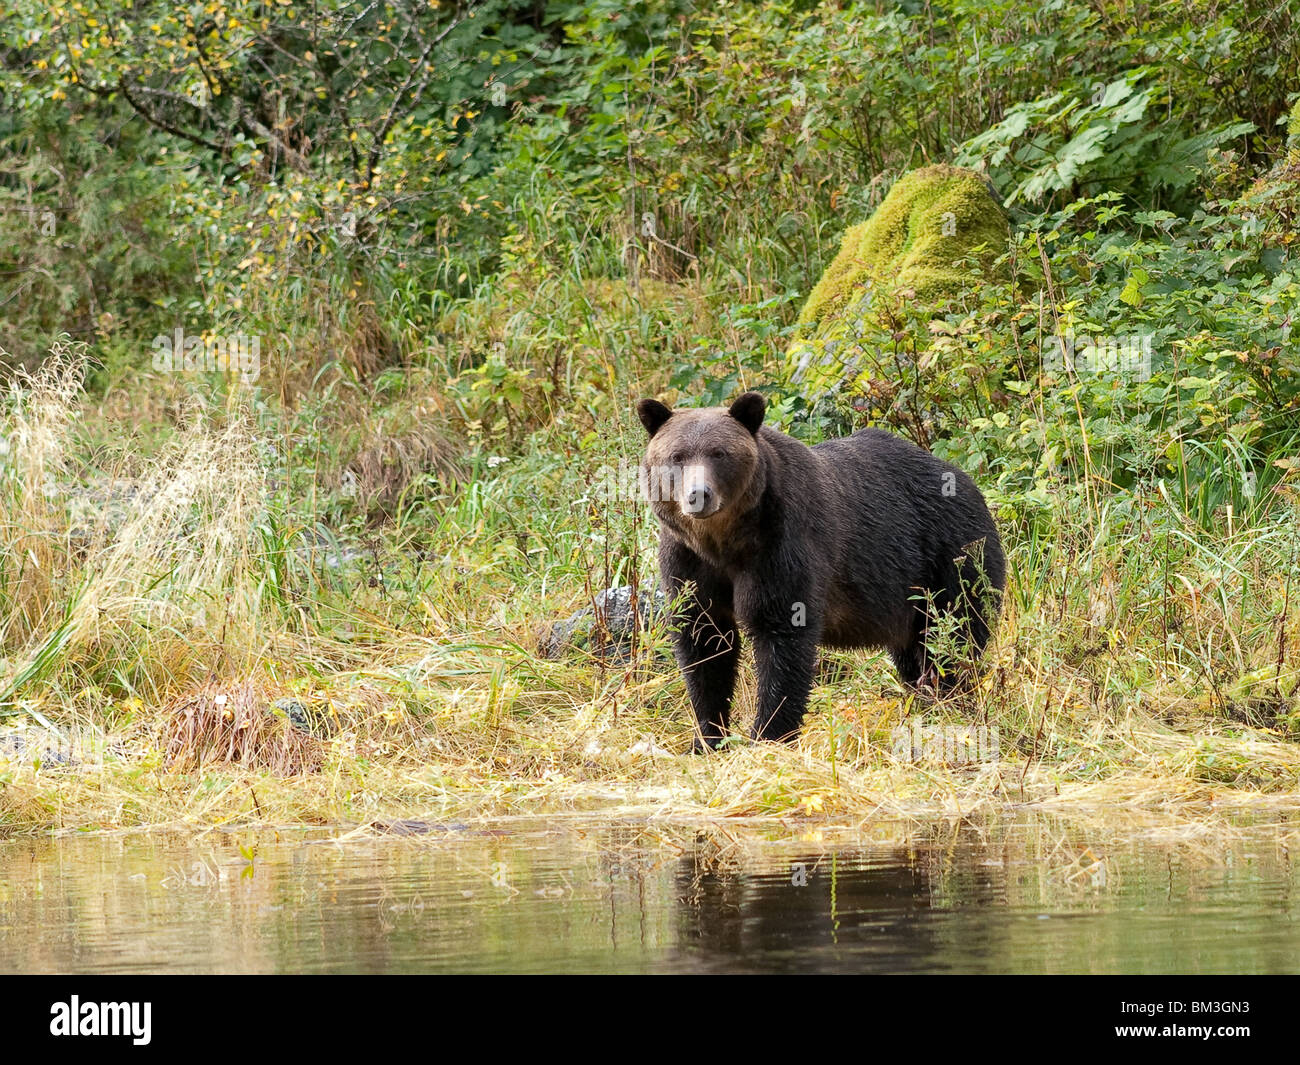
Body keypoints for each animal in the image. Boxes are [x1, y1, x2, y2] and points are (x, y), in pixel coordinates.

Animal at [636, 391, 1005, 750]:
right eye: (678, 456)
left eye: (719, 453)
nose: (698, 495)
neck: (724, 543)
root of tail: (967, 481)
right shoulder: (687, 560)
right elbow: (704, 641)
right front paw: (708, 738)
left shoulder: (780, 546)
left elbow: (781, 635)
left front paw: (768, 734)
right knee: (914, 653)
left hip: (950, 555)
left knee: (954, 633)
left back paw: (949, 700)